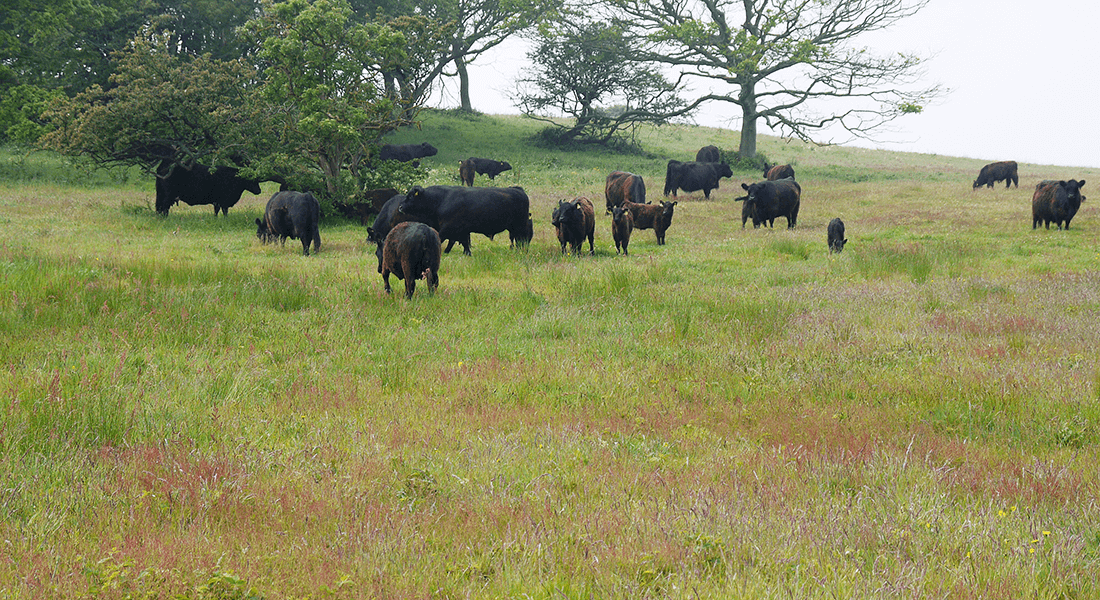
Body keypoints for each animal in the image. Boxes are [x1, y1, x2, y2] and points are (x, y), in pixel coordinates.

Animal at [400, 184, 532, 255]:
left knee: (521, 240)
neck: (442, 199)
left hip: (520, 227)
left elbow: (441, 238)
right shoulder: (462, 229)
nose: (400, 207)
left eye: (411, 196)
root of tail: (518, 189)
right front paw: (467, 253)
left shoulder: (448, 227)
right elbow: (464, 243)